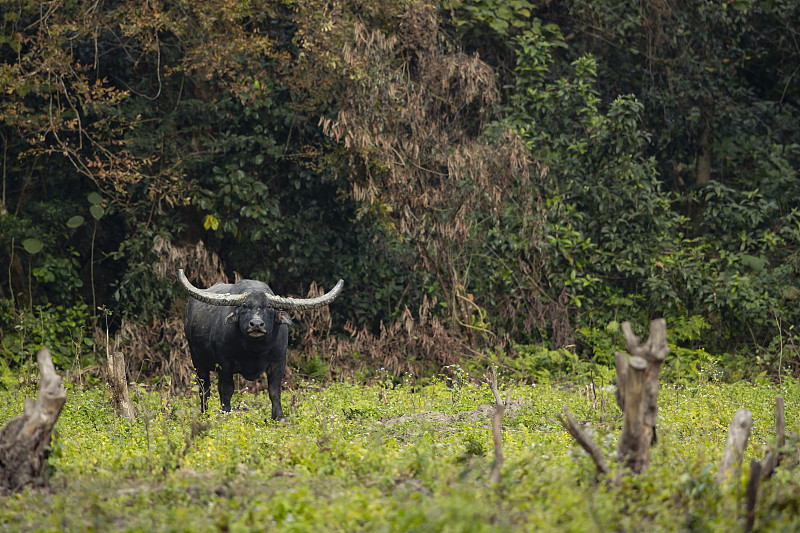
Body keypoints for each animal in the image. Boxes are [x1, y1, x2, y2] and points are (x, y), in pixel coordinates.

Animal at [177, 270, 342, 420]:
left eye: (269, 307)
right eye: (244, 306)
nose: (256, 324)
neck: (254, 350)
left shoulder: (279, 361)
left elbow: (274, 390)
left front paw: (280, 417)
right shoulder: (224, 363)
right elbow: (227, 389)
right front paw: (227, 414)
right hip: (198, 361)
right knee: (205, 388)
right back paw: (205, 414)